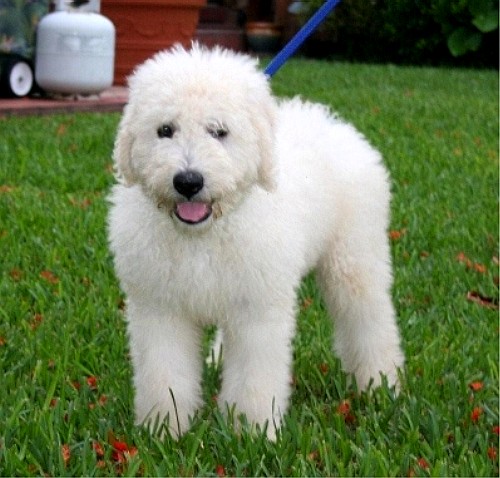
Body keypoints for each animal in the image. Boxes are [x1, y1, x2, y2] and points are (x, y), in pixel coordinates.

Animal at [107, 43, 404, 438]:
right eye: (165, 130)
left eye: (219, 131)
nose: (188, 182)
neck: (203, 234)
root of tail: (333, 123)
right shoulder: (160, 307)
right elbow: (164, 372)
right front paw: (164, 429)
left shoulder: (258, 309)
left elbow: (253, 374)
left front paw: (252, 431)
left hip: (354, 256)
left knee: (369, 318)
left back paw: (381, 383)